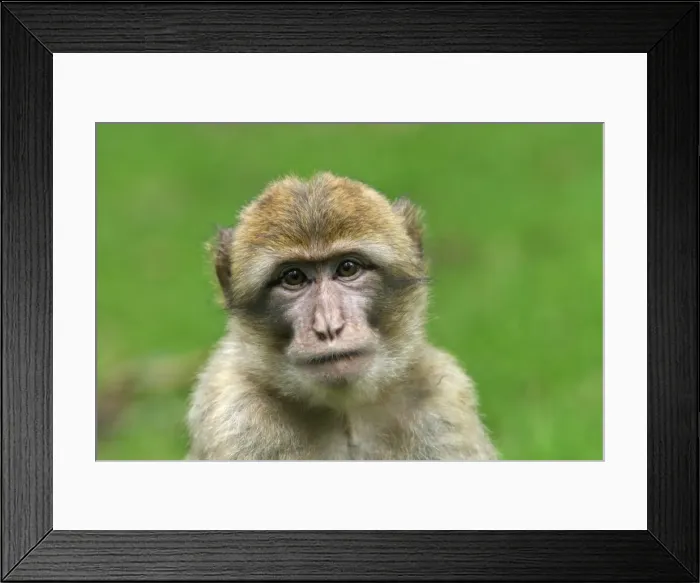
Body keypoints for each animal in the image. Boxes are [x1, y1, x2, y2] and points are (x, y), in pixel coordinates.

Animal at [186, 172, 498, 460]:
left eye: (347, 268)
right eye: (294, 277)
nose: (328, 328)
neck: (346, 413)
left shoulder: (443, 407)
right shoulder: (238, 419)